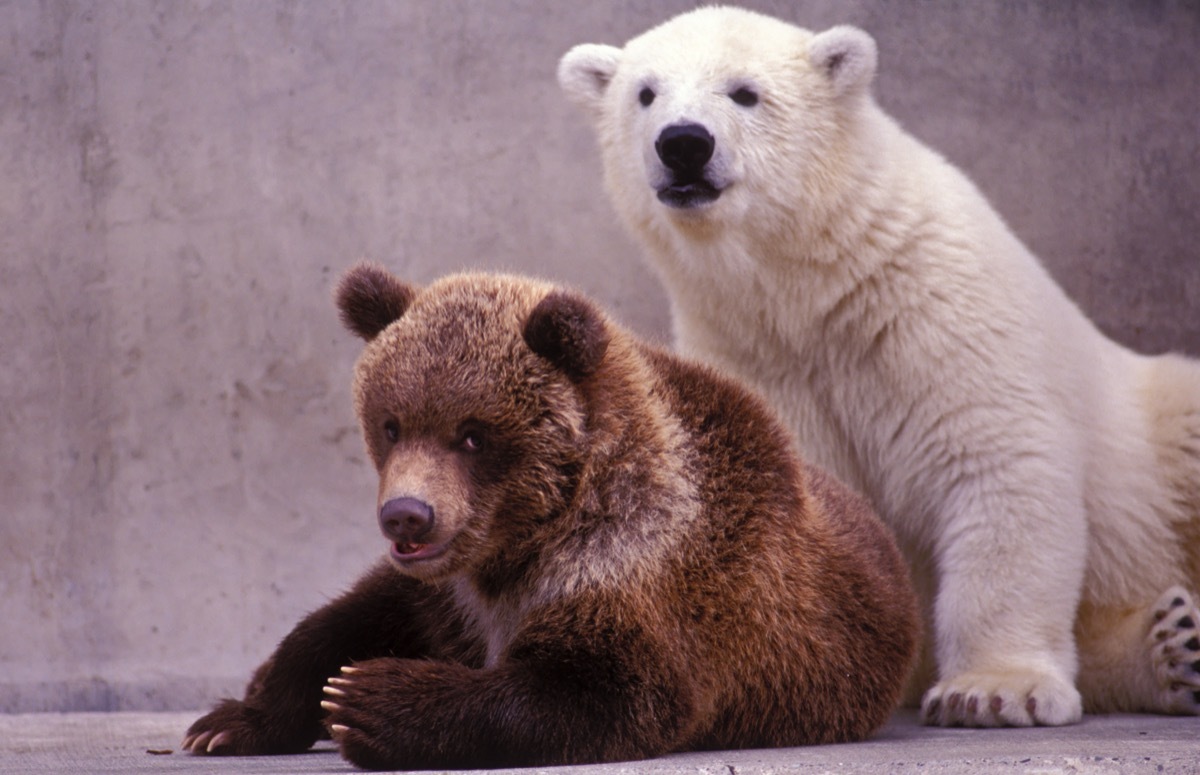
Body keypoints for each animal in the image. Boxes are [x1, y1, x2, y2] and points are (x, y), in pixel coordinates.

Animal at [182, 265, 916, 772]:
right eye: (391, 423)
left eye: (472, 433)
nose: (406, 516)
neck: (526, 539)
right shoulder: (447, 590)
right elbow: (346, 617)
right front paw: (228, 722)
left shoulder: (648, 578)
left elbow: (600, 692)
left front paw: (371, 700)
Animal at [561, 6, 1200, 729]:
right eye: (645, 93)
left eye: (745, 92)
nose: (684, 143)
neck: (817, 286)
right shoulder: (756, 360)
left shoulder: (935, 312)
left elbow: (997, 462)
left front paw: (993, 689)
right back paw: (1167, 647)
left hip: (1155, 437)